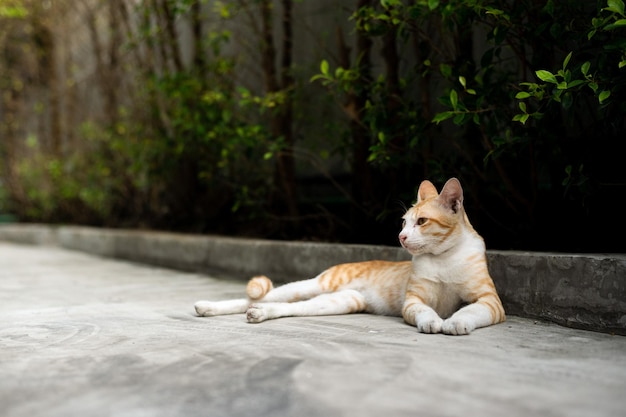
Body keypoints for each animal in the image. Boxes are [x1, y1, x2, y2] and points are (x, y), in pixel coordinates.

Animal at [193, 177, 504, 334]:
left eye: (422, 221)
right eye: (404, 222)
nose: (401, 237)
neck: (443, 257)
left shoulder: (490, 301)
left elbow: (470, 310)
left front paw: (456, 322)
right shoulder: (414, 300)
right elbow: (424, 311)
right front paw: (432, 322)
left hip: (339, 301)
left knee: (280, 306)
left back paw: (257, 314)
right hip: (314, 285)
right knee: (257, 296)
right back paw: (207, 307)